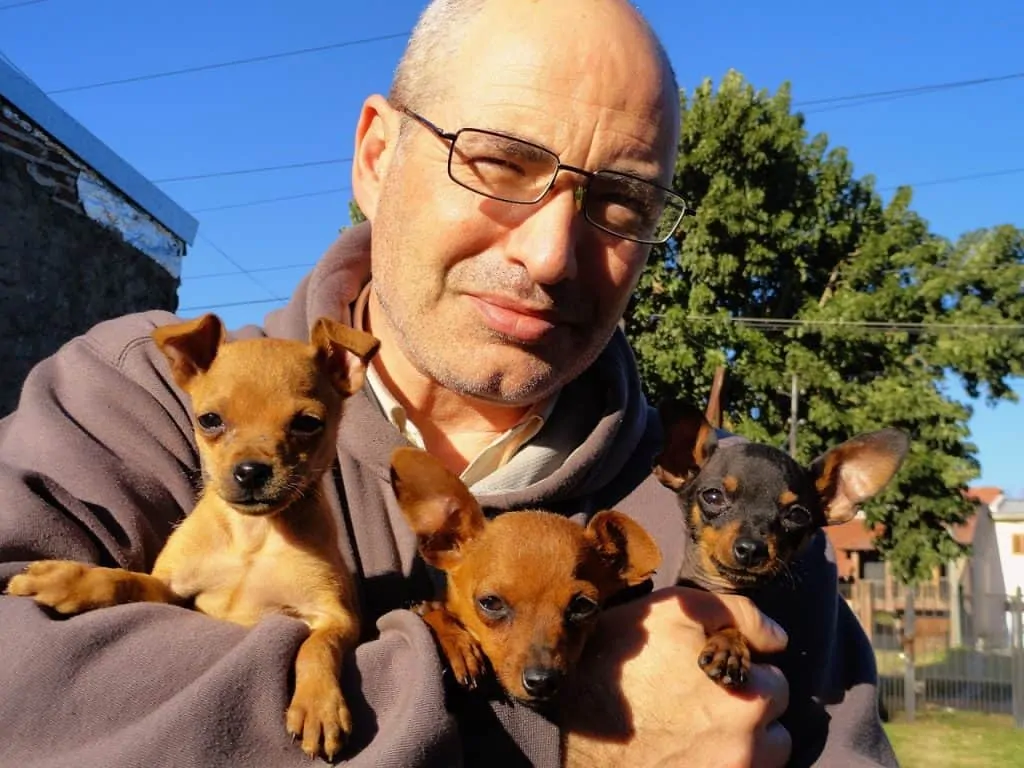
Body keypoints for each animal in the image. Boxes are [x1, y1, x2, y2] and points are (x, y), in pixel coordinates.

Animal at [7, 313, 380, 765]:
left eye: (308, 424)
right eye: (210, 420)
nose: (250, 472)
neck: (253, 536)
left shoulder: (336, 617)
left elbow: (317, 647)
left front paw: (318, 706)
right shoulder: (171, 589)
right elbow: (123, 580)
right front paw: (67, 580)